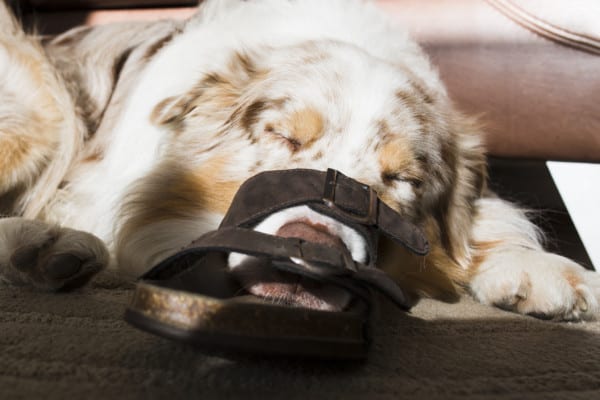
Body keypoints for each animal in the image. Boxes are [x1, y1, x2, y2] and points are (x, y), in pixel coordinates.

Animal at [0, 0, 596, 318]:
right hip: (44, 106)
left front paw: (543, 268)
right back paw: (43, 243)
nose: (312, 249)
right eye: (284, 138)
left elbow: (497, 222)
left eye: (402, 178)